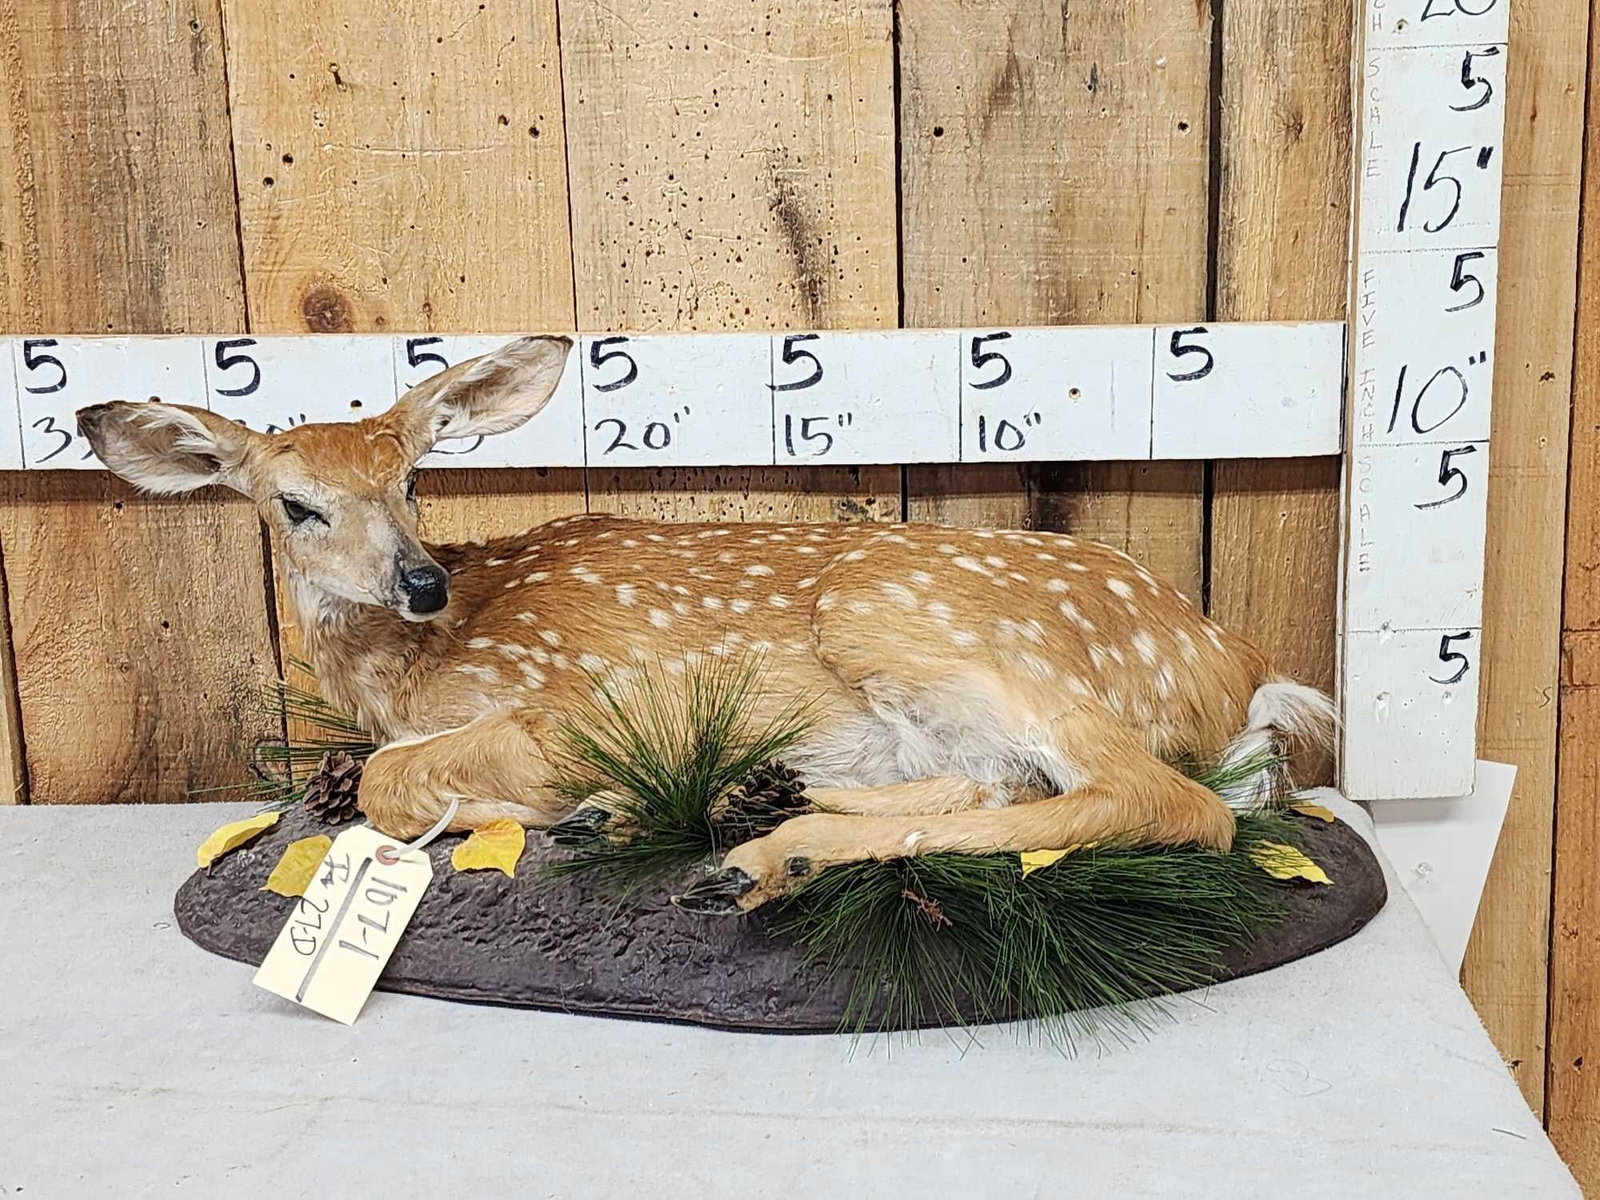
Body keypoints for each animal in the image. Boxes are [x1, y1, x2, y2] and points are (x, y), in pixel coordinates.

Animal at [76, 334, 1335, 913]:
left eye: (414, 480)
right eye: (295, 504)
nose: (420, 581)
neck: (424, 662)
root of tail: (1234, 665)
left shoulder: (577, 700)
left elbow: (394, 782)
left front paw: (541, 804)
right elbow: (378, 772)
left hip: (905, 615)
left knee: (1166, 804)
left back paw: (763, 854)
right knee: (1007, 787)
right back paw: (759, 804)